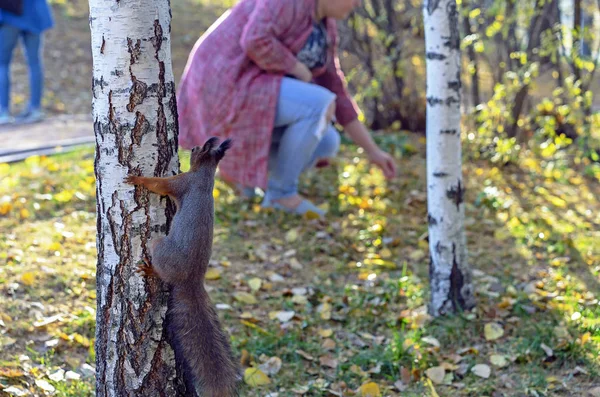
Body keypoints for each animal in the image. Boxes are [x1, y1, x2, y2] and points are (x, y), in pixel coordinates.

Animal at [124, 137, 239, 396]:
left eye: (196, 149)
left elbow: (159, 185)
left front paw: (137, 179)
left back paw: (149, 269)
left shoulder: (181, 183)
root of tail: (191, 280)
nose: (190, 148)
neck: (205, 177)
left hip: (159, 245)